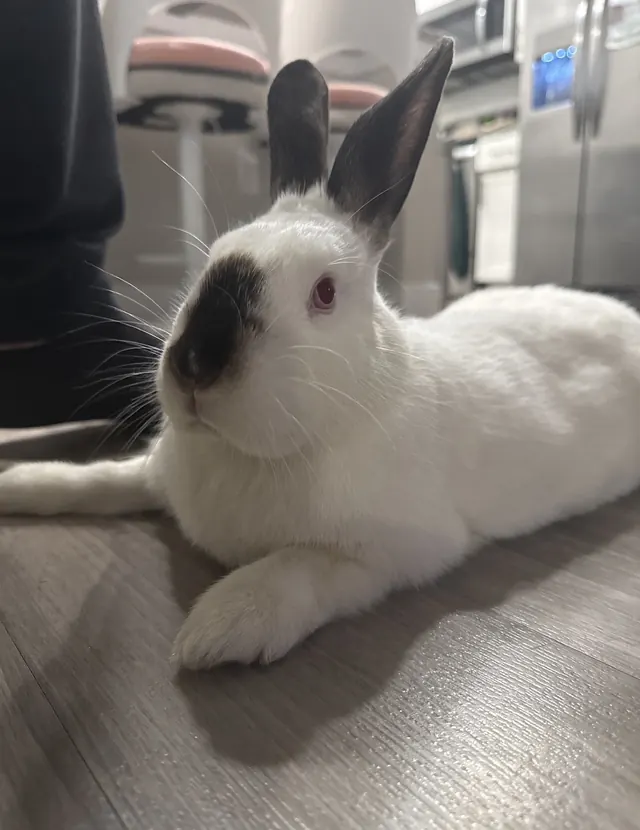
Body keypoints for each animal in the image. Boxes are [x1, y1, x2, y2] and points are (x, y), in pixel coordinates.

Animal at [3, 37, 640, 670]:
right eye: (212, 257)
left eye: (325, 292)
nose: (196, 365)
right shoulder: (149, 472)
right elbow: (98, 480)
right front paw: (20, 483)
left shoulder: (394, 552)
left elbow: (298, 568)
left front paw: (220, 626)